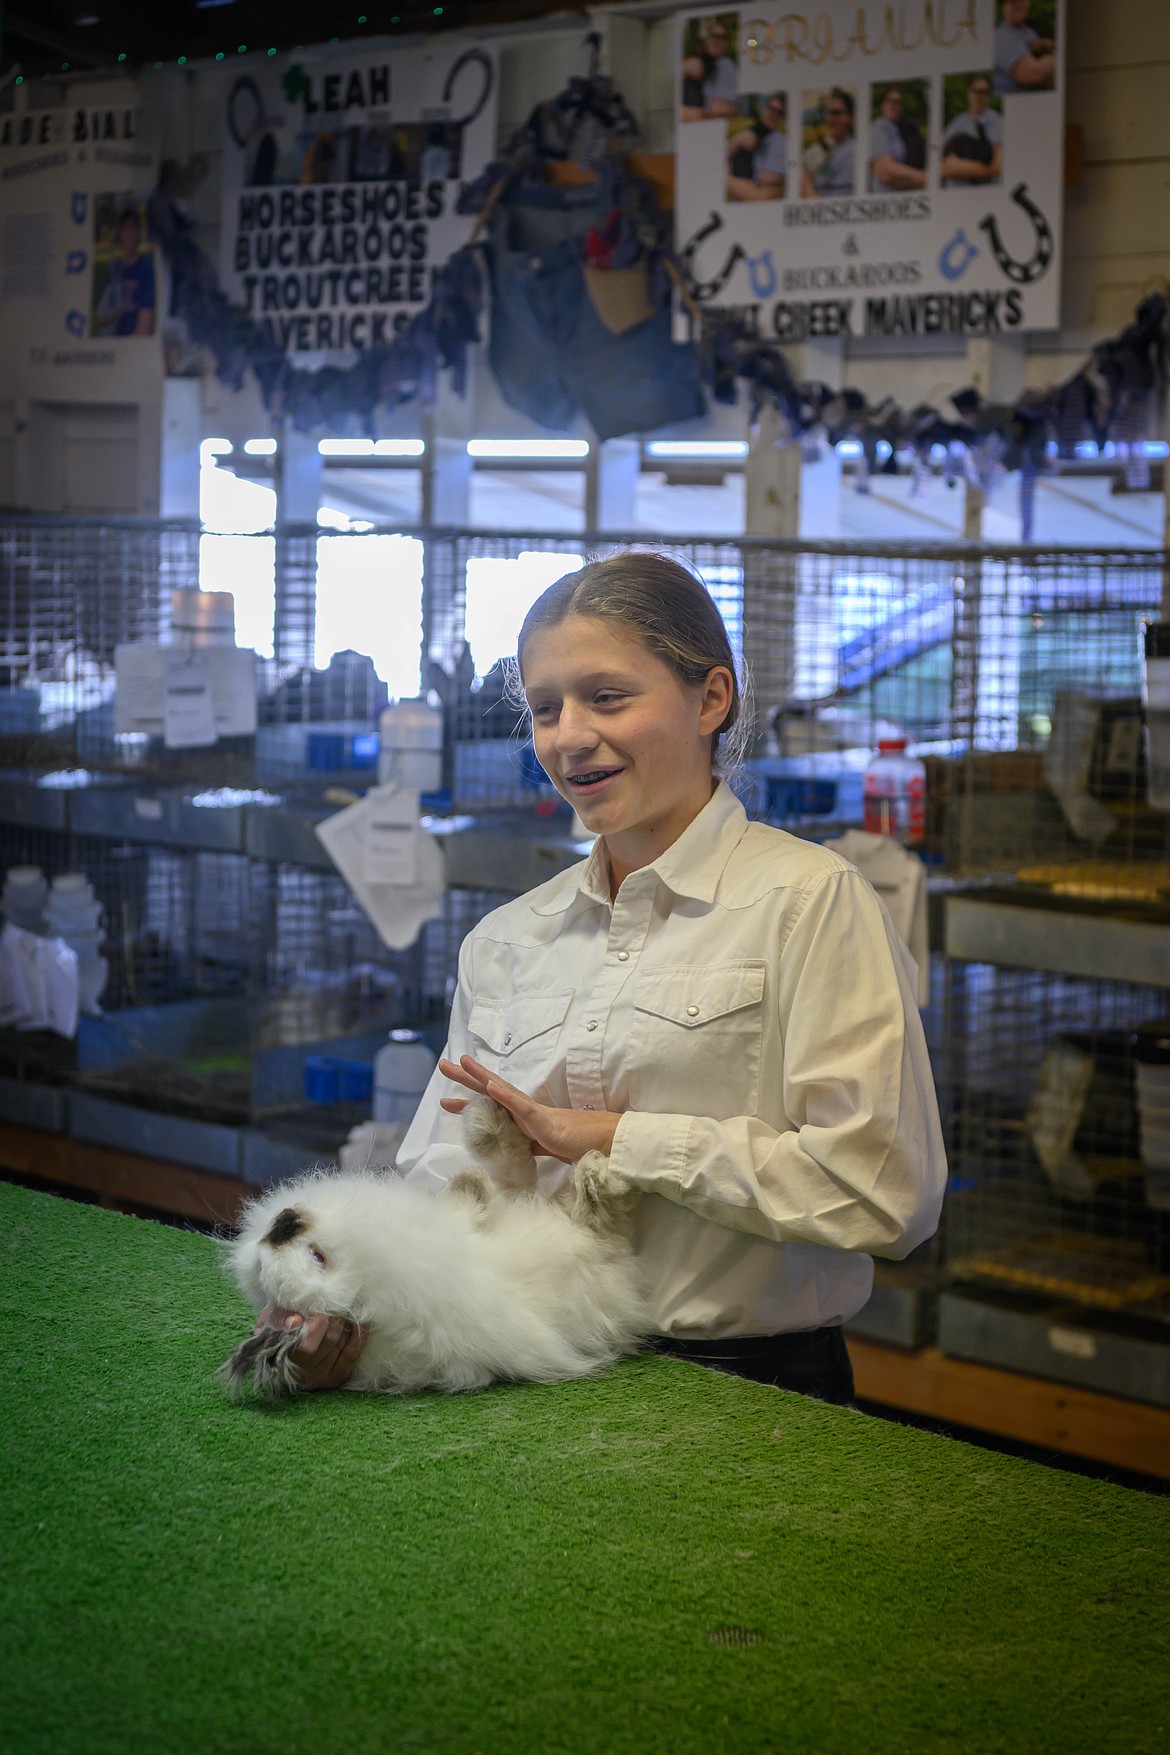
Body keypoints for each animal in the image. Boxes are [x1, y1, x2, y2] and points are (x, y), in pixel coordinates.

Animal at [219, 1095, 649, 1396]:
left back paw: (489, 1122)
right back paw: (593, 1171)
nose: (284, 1224)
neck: (364, 1278)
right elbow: (495, 1193)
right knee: (594, 1213)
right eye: (317, 1257)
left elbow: (483, 1194)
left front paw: (470, 1174)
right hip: (591, 1260)